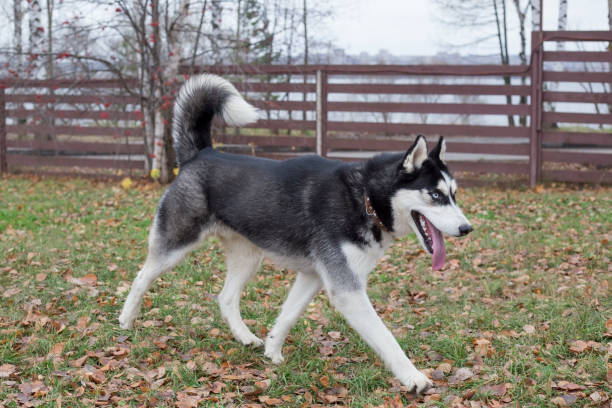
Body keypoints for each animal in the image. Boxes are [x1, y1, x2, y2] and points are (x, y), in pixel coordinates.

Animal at [119, 75, 474, 394]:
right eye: (436, 195)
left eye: (454, 194)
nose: (467, 229)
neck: (365, 198)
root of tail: (202, 154)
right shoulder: (347, 290)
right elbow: (386, 338)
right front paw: (414, 377)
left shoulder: (313, 276)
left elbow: (289, 315)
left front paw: (273, 351)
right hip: (176, 244)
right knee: (141, 277)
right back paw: (126, 320)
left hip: (248, 259)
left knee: (226, 297)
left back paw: (245, 337)